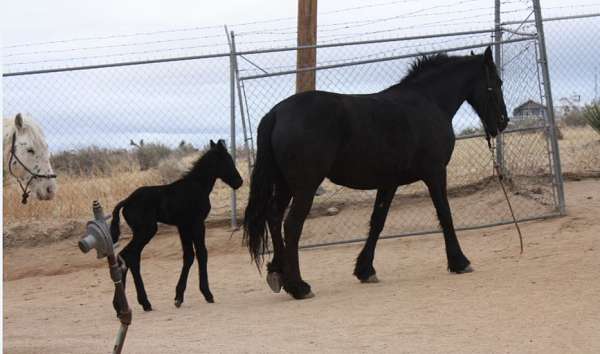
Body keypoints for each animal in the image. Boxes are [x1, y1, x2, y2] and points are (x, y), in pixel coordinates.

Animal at [111, 140, 243, 312]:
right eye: (227, 160)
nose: (239, 182)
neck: (197, 186)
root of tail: (126, 201)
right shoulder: (197, 223)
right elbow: (201, 253)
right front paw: (207, 294)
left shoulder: (183, 226)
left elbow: (189, 256)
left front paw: (179, 296)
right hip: (146, 231)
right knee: (130, 256)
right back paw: (136, 303)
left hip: (142, 232)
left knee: (130, 257)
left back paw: (130, 304)